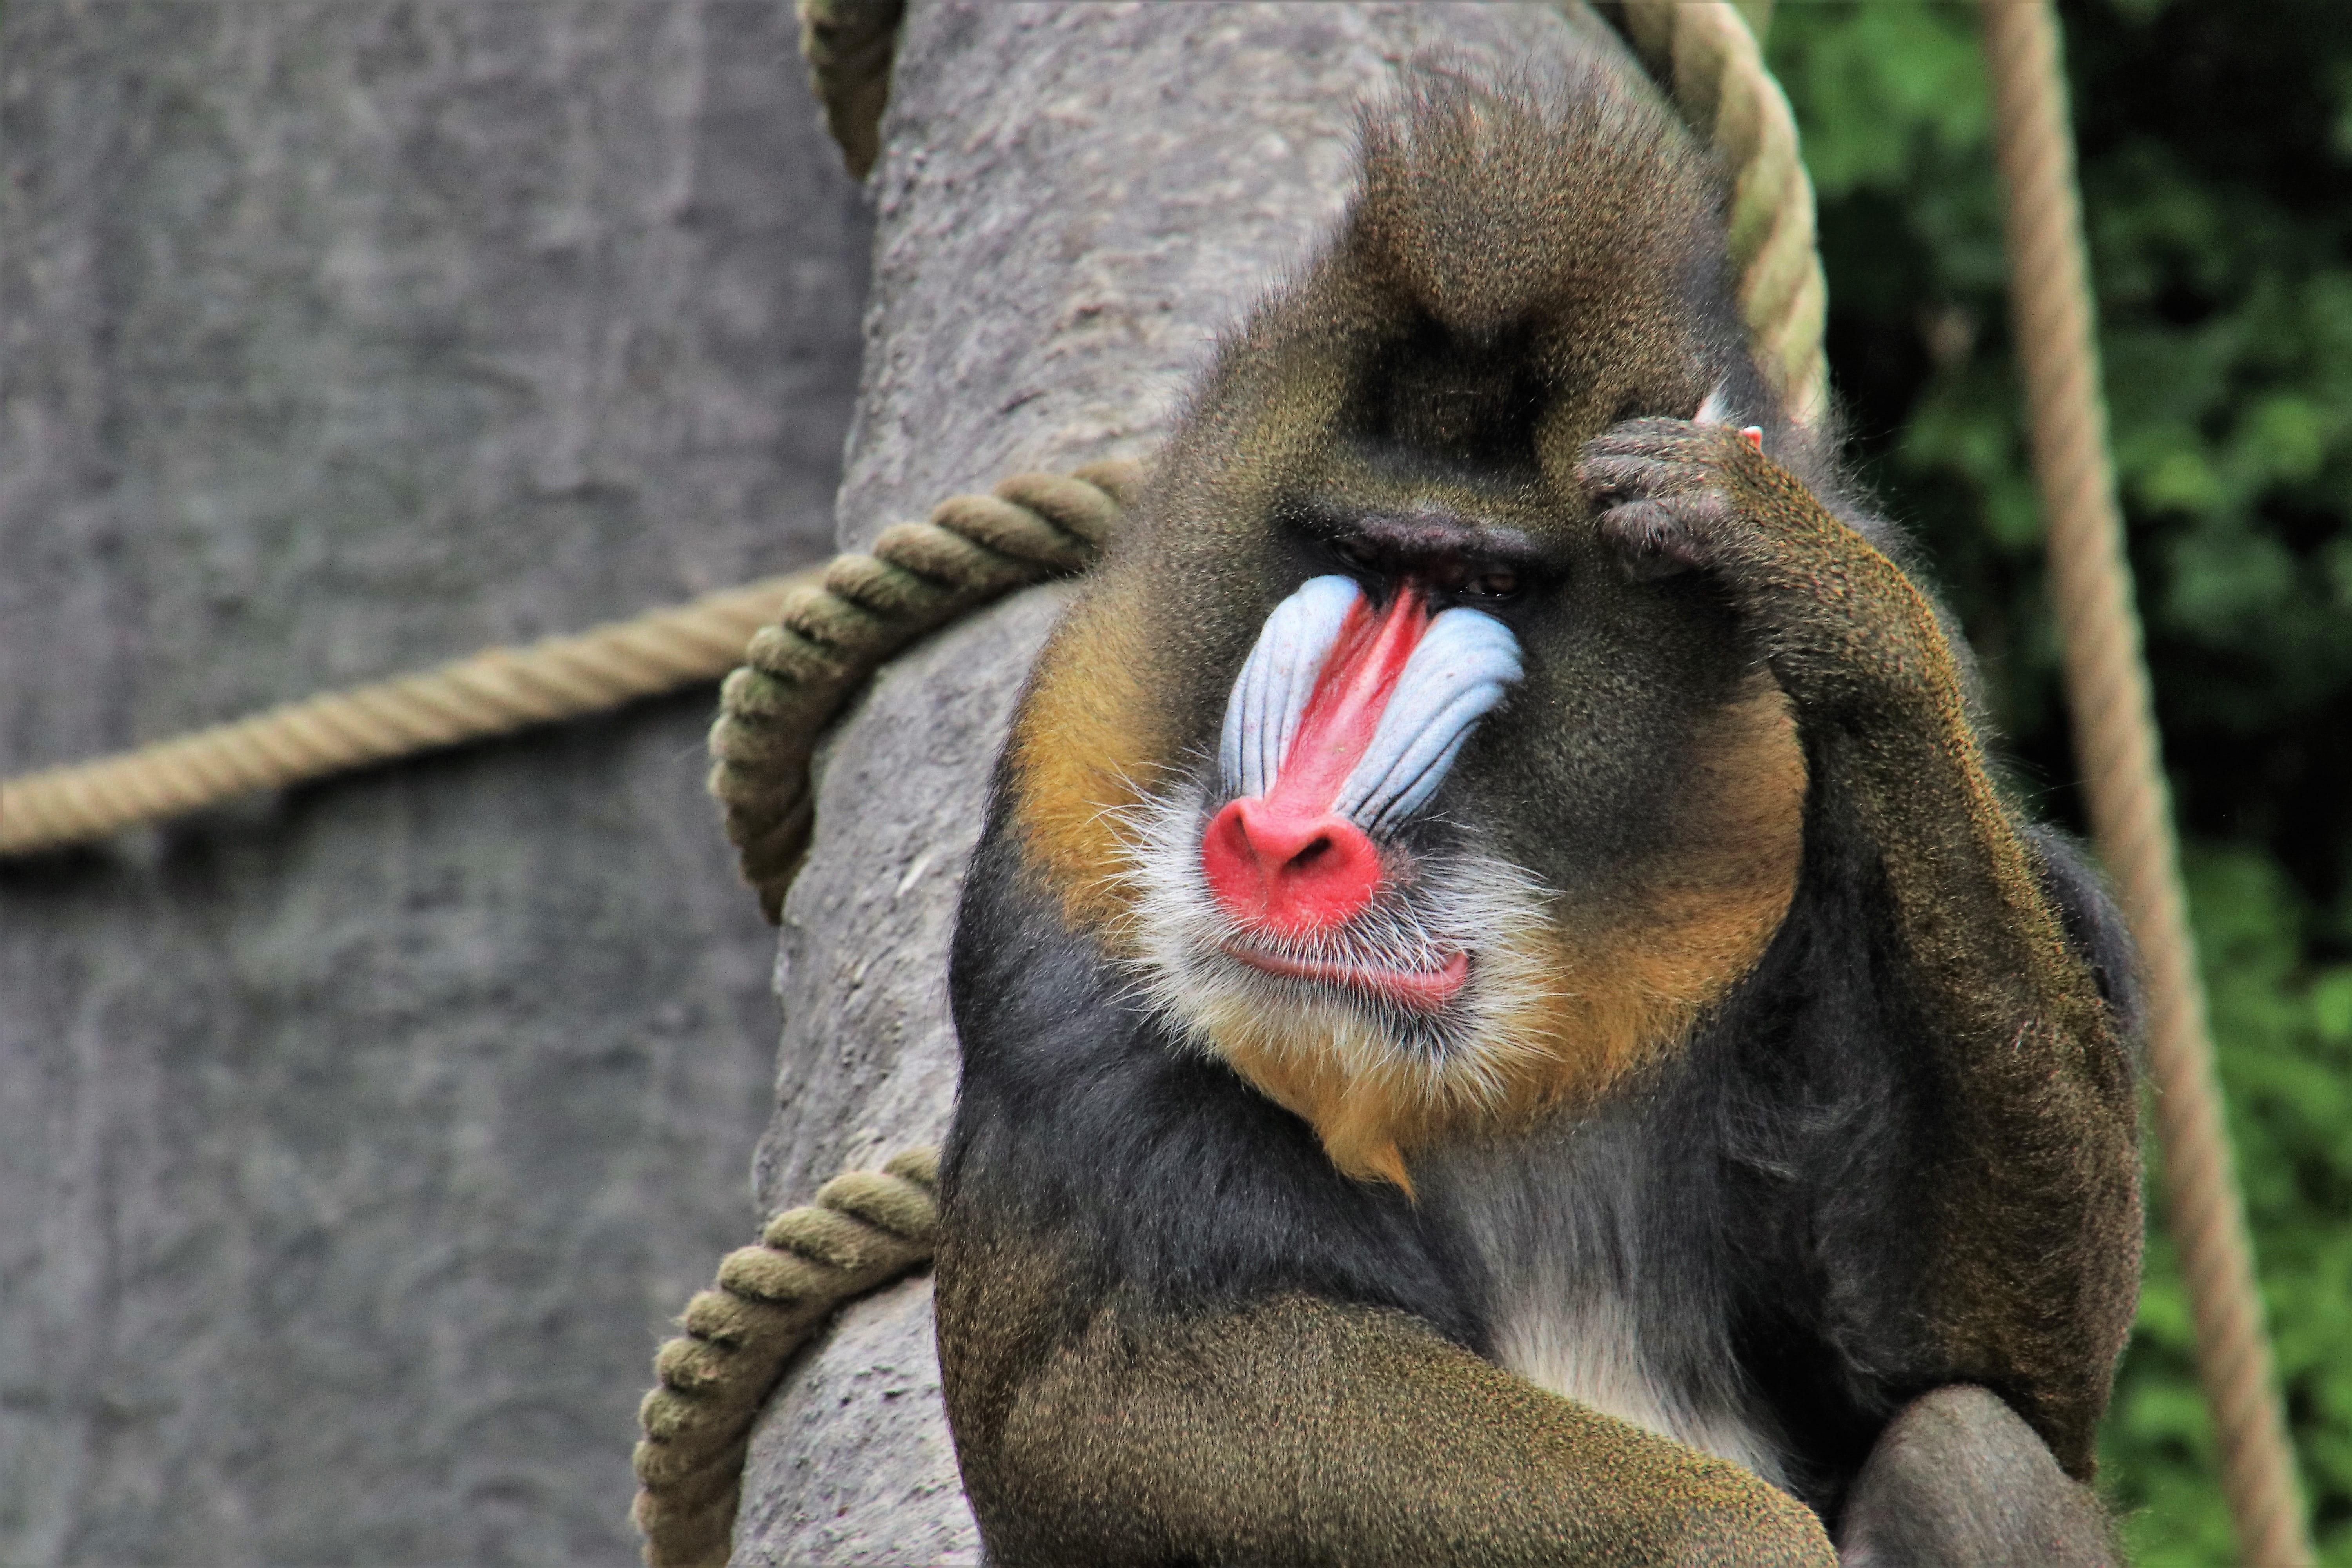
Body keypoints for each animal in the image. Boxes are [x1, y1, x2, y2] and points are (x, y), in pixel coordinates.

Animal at [936, 50, 2142, 1568]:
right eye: (1358, 558)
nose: (1276, 844)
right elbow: (1107, 1373)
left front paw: (1813, 577)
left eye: (1490, 586)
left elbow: (1972, 1354)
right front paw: (1734, 1540)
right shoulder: (1059, 863)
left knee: (1966, 1447)